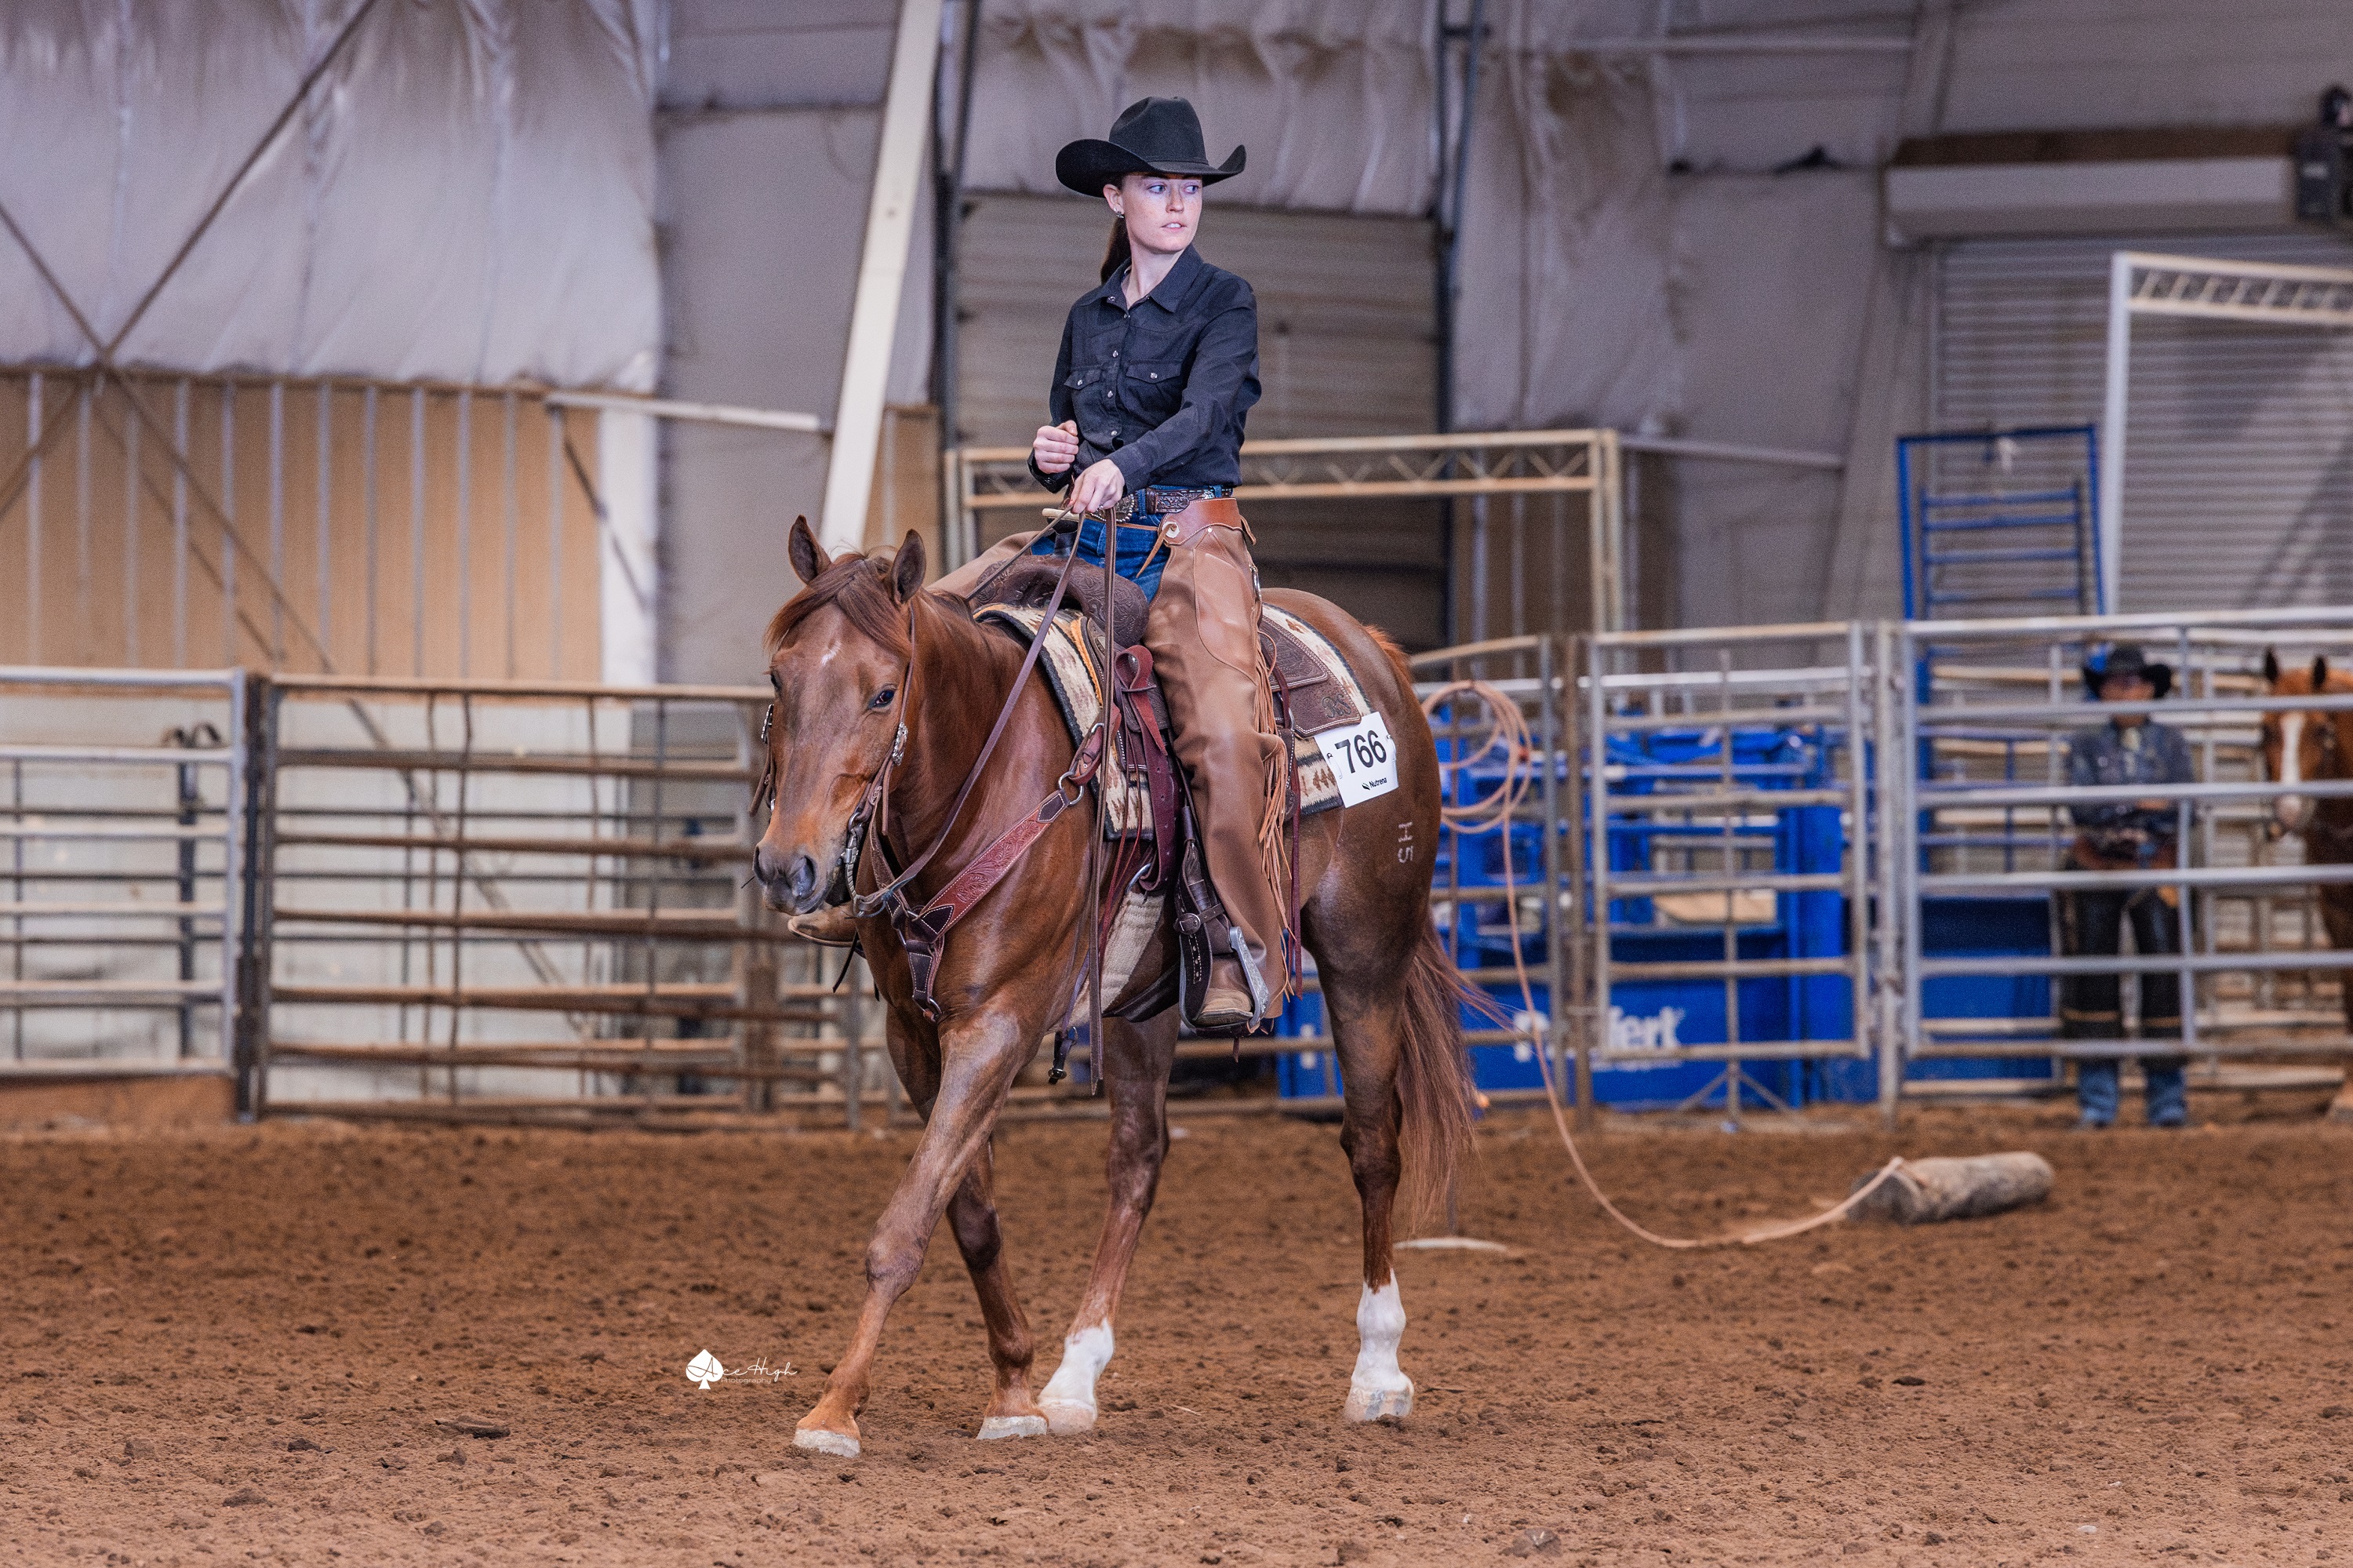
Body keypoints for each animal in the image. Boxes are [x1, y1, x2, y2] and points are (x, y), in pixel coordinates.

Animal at [753, 518, 1476, 1458]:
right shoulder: (913, 1032)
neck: (986, 778)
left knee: (1372, 1144)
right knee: (1139, 1157)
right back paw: (1075, 1376)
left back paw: (1379, 1369)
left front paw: (835, 1409)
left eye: (882, 693)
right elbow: (967, 1209)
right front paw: (1015, 1387)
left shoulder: (1001, 1021)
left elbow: (906, 1223)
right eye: (780, 676)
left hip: (1366, 956)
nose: (787, 865)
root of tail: (1375, 649)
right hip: (1143, 998)